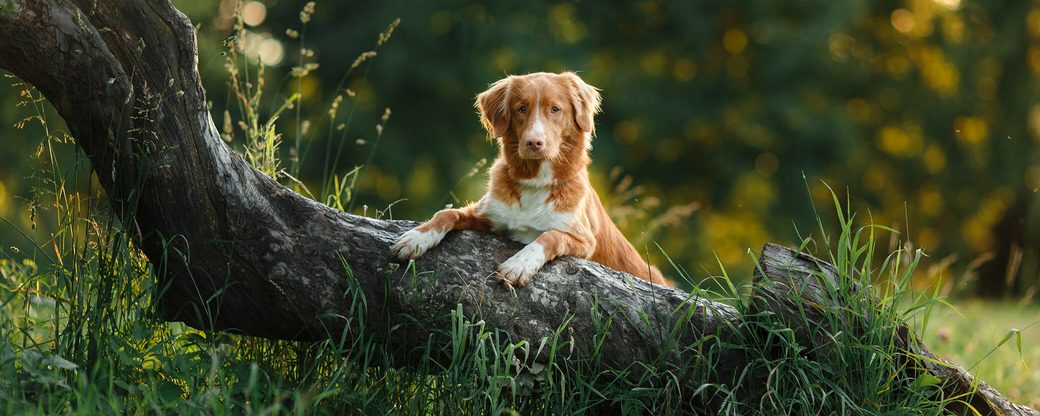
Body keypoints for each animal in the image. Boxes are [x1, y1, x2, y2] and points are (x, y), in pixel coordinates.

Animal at [388, 72, 665, 287]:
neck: (535, 181)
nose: (534, 142)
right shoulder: (489, 215)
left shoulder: (584, 241)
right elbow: (447, 213)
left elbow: (549, 236)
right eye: (521, 109)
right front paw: (416, 238)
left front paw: (519, 264)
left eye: (555, 109)